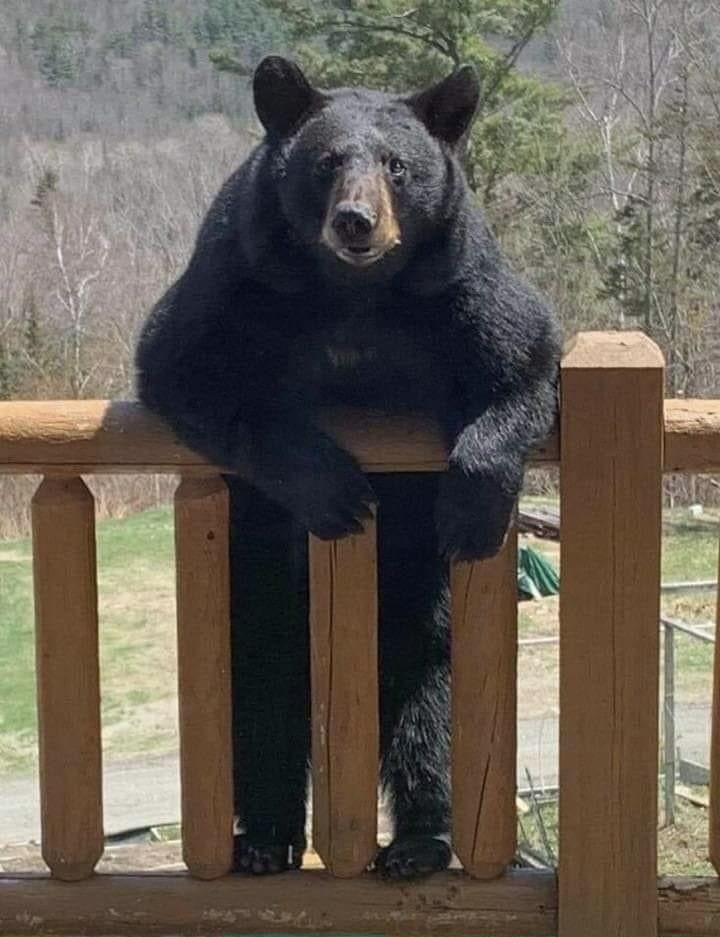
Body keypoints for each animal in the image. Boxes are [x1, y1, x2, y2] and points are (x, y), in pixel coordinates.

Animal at [135, 55, 561, 879]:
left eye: (397, 166)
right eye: (328, 162)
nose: (355, 222)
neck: (351, 294)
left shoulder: (458, 283)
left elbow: (526, 358)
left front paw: (473, 504)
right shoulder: (241, 275)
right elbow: (182, 364)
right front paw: (332, 488)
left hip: (416, 593)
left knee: (428, 693)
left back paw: (419, 842)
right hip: (255, 579)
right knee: (260, 689)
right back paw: (264, 838)